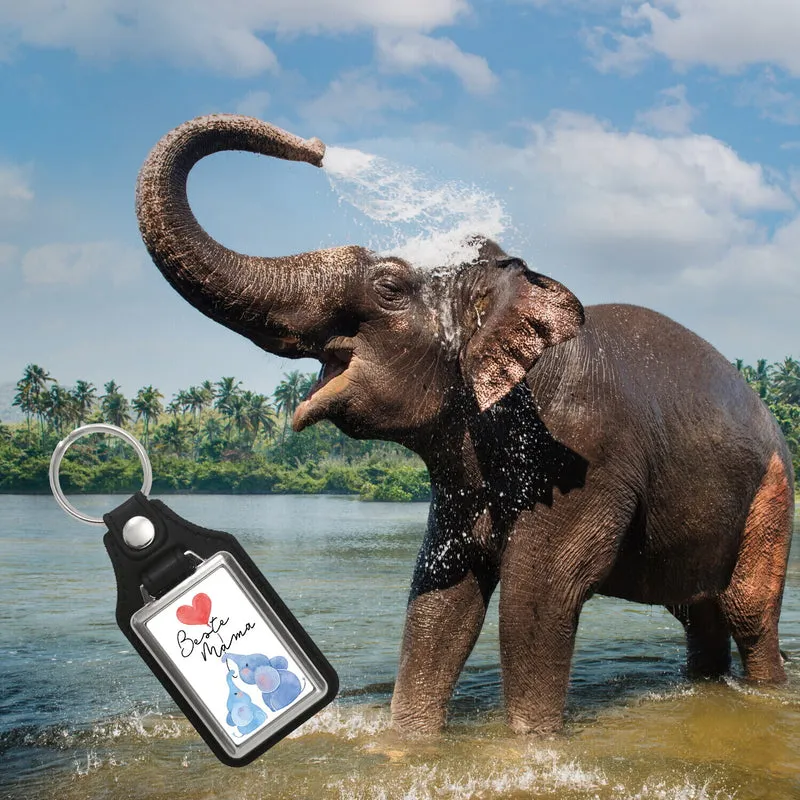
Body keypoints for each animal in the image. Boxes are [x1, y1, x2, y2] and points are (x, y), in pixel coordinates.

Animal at [136, 114, 794, 736]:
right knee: (698, 611)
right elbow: (441, 595)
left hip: (774, 490)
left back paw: (765, 688)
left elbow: (539, 595)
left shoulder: (584, 452)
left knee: (746, 611)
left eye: (388, 286)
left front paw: (529, 744)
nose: (317, 147)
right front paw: (406, 742)